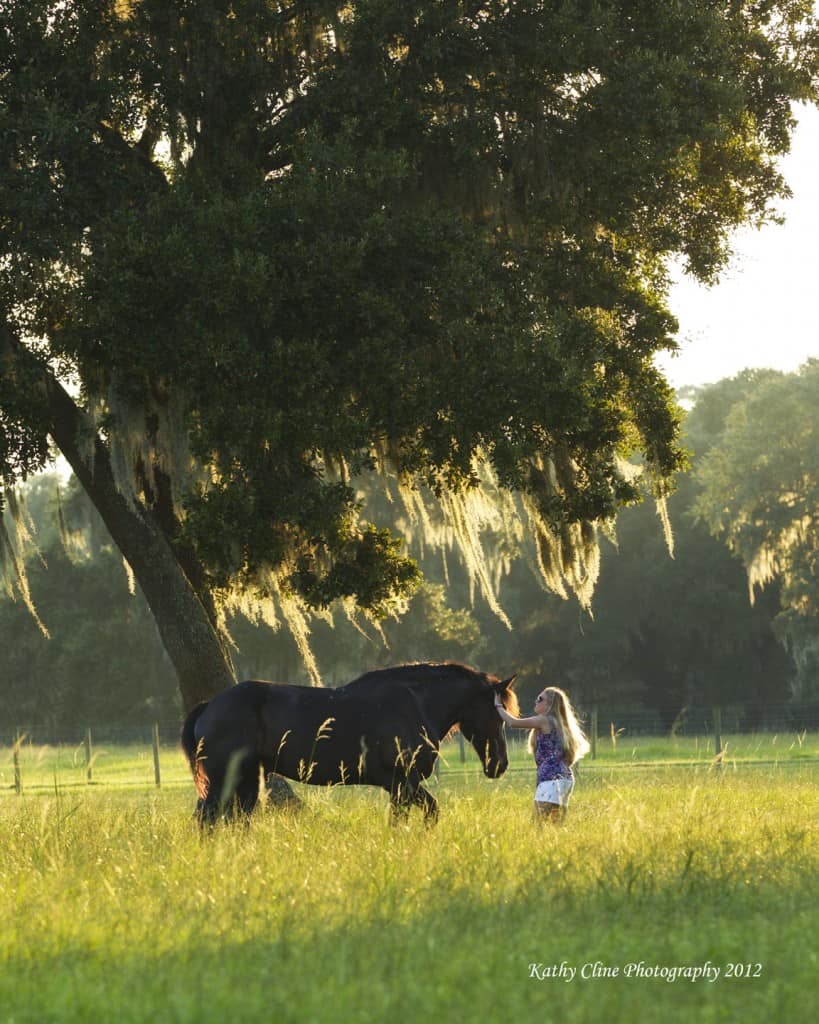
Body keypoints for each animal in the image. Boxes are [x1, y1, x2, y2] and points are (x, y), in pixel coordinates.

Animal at [181, 663, 518, 823]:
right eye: (497, 713)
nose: (500, 765)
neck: (415, 703)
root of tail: (209, 706)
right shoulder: (403, 783)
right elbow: (424, 814)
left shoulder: (397, 787)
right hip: (224, 780)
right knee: (207, 819)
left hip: (246, 780)